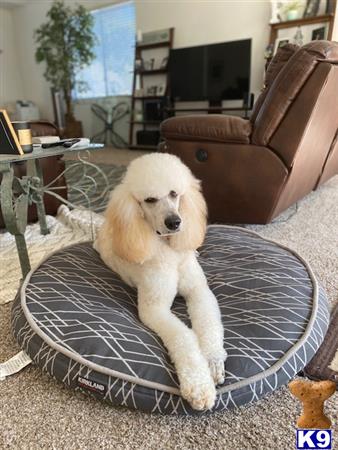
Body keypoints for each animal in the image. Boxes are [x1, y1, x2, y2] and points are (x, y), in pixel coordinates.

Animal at [94, 153, 227, 410]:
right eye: (150, 199)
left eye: (174, 193)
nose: (174, 222)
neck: (169, 251)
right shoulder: (154, 309)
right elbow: (183, 336)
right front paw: (199, 385)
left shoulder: (198, 289)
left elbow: (208, 321)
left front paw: (213, 360)